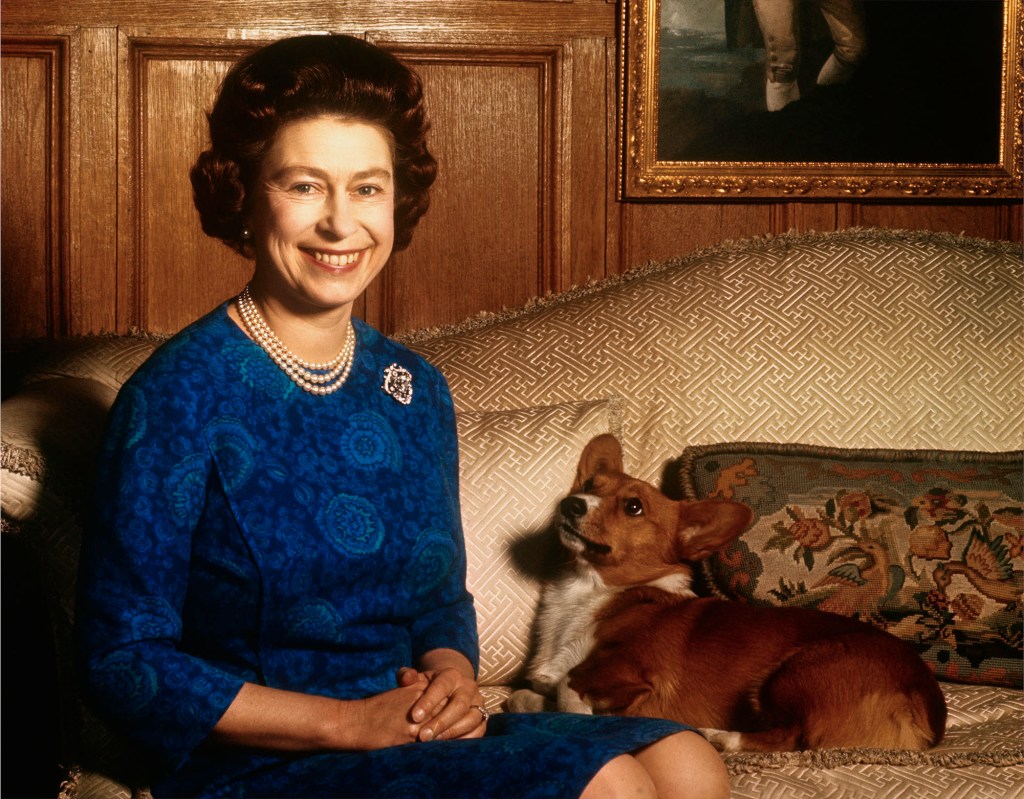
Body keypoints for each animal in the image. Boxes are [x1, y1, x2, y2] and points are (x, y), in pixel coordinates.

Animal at [507, 434, 946, 753]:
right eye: (588, 485)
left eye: (633, 507)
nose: (571, 503)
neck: (589, 591)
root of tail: (928, 709)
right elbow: (529, 694)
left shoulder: (635, 672)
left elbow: (569, 685)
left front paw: (585, 714)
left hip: (793, 670)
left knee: (793, 737)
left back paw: (720, 737)